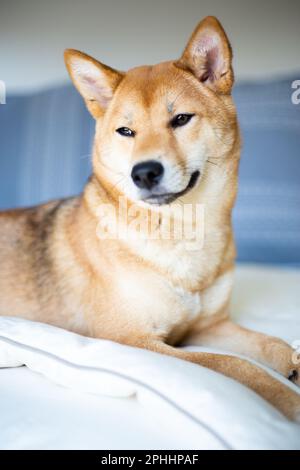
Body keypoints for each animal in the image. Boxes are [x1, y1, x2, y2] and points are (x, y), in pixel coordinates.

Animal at [0, 16, 300, 420]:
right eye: (125, 131)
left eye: (181, 119)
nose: (143, 173)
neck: (183, 230)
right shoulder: (133, 340)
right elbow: (233, 365)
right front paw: (287, 398)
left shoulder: (210, 326)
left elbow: (273, 345)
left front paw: (293, 363)